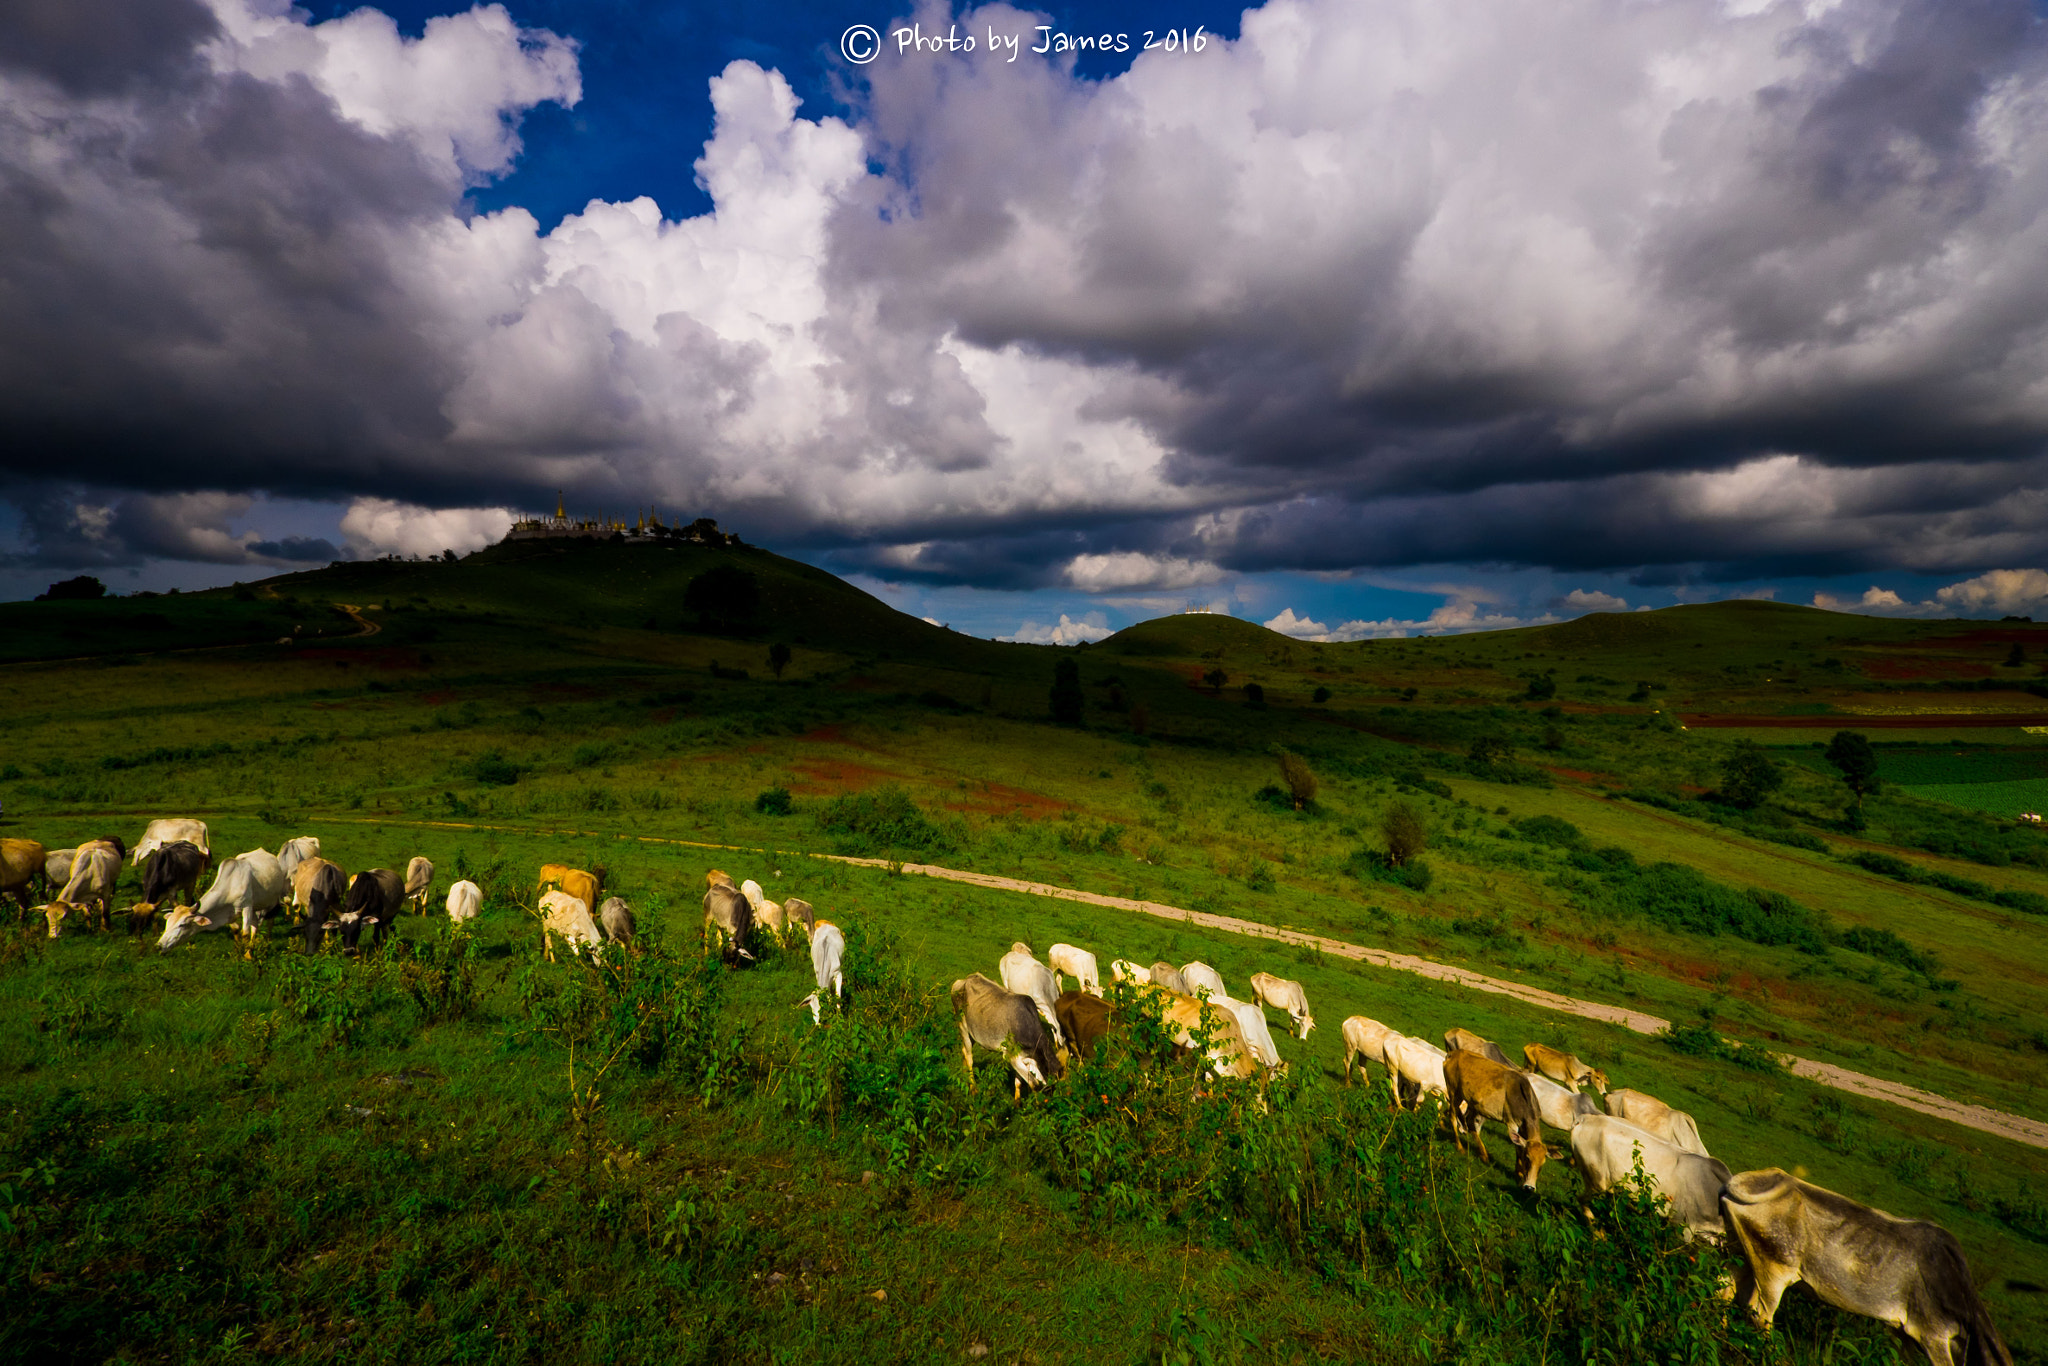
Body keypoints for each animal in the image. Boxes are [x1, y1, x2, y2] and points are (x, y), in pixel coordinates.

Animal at [1441, 1048, 1548, 1187]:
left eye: (1541, 1165)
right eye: (1528, 1158)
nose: (1529, 1186)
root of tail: (1453, 1054)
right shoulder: (1511, 1123)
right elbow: (1518, 1146)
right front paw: (1519, 1172)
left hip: (1473, 1103)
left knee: (1468, 1122)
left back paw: (1483, 1155)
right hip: (1454, 1092)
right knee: (1453, 1116)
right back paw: (1460, 1146)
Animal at [1720, 1163, 2007, 1366]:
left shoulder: (1901, 1332)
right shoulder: (1933, 1335)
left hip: (1740, 1254)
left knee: (1724, 1291)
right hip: (1775, 1269)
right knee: (1759, 1314)